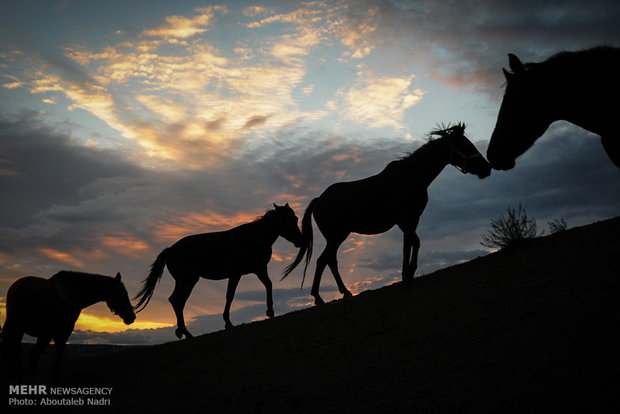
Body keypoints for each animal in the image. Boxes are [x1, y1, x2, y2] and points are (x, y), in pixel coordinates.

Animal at [0, 272, 136, 382]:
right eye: (122, 293)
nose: (132, 317)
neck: (73, 291)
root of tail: (24, 285)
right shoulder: (63, 332)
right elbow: (59, 353)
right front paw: (55, 378)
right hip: (44, 334)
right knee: (32, 356)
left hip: (18, 331)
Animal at [134, 204, 302, 340]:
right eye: (289, 219)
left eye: (295, 218)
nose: (300, 240)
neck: (253, 237)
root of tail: (170, 250)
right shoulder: (236, 274)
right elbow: (230, 296)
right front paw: (228, 322)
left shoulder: (259, 269)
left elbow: (268, 285)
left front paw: (270, 311)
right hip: (187, 280)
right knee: (177, 301)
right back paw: (186, 333)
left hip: (186, 281)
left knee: (177, 301)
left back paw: (182, 332)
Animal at [284, 124, 492, 306]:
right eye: (465, 145)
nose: (487, 168)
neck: (411, 177)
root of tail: (319, 199)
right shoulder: (404, 220)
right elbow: (410, 245)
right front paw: (406, 276)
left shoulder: (411, 221)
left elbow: (412, 244)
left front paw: (409, 274)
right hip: (337, 236)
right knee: (323, 260)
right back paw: (319, 297)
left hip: (337, 237)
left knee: (330, 261)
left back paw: (345, 292)